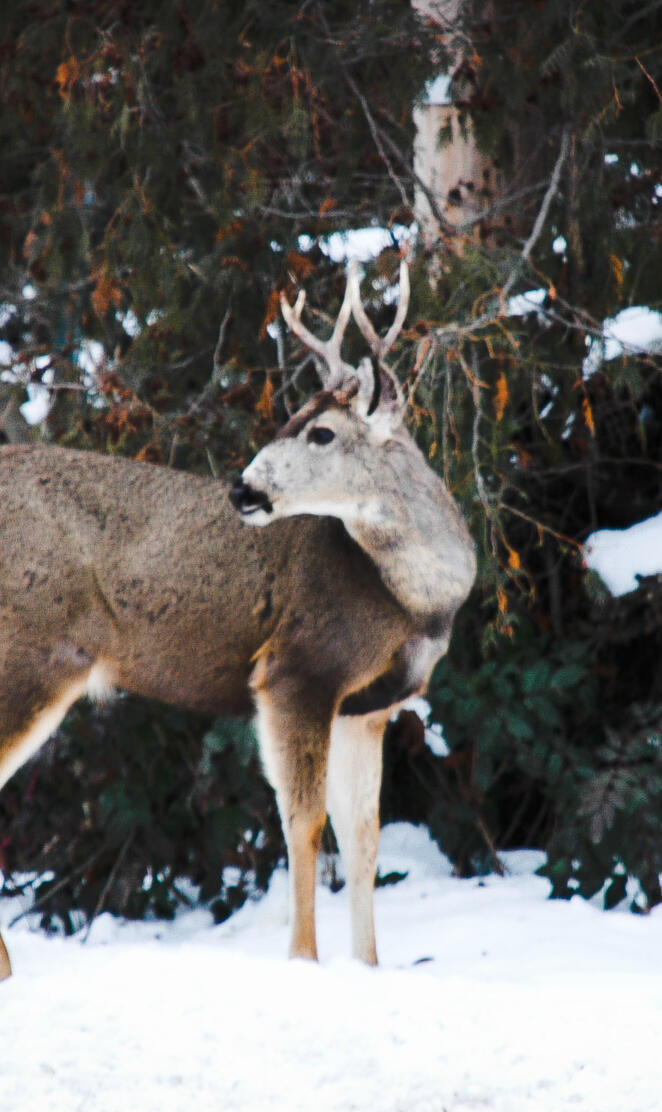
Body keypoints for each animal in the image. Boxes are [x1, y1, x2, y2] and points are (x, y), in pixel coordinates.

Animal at [0, 260, 475, 981]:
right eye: (291, 418)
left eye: (320, 431)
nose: (242, 490)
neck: (413, 598)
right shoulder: (296, 670)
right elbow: (304, 824)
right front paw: (303, 960)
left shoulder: (367, 708)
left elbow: (364, 837)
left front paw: (368, 968)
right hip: (32, 651)